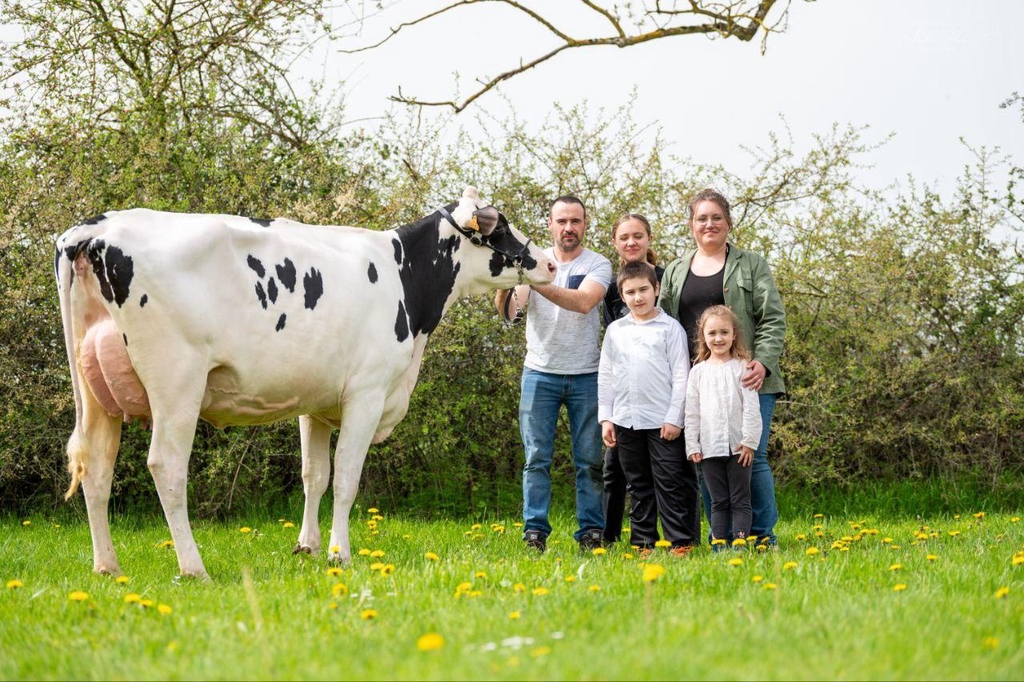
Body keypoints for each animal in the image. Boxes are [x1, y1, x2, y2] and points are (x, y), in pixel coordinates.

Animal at [54, 187, 555, 579]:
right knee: (166, 467)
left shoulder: (315, 403)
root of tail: (92, 230)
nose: (549, 263)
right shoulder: (367, 394)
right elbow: (347, 478)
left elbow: (315, 475)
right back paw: (194, 567)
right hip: (177, 383)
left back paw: (107, 567)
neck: (405, 277)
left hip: (96, 392)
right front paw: (339, 554)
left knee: (96, 468)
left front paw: (307, 547)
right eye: (498, 227)